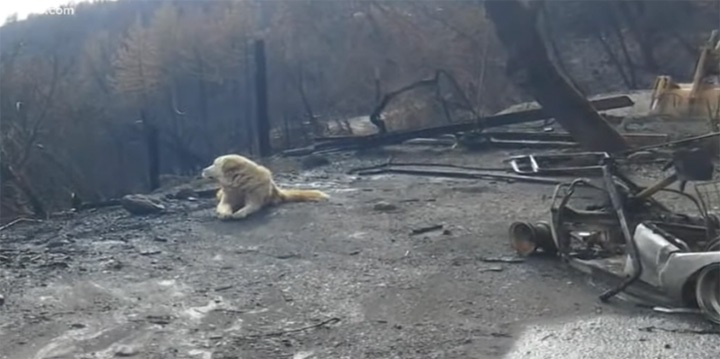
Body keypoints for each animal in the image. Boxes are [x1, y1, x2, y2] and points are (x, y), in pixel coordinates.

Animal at [200, 154, 330, 221]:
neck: (238, 182)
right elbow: (224, 205)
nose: (203, 169)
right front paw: (224, 213)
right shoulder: (228, 196)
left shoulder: (255, 197)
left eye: (214, 164)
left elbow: (250, 206)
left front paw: (239, 213)